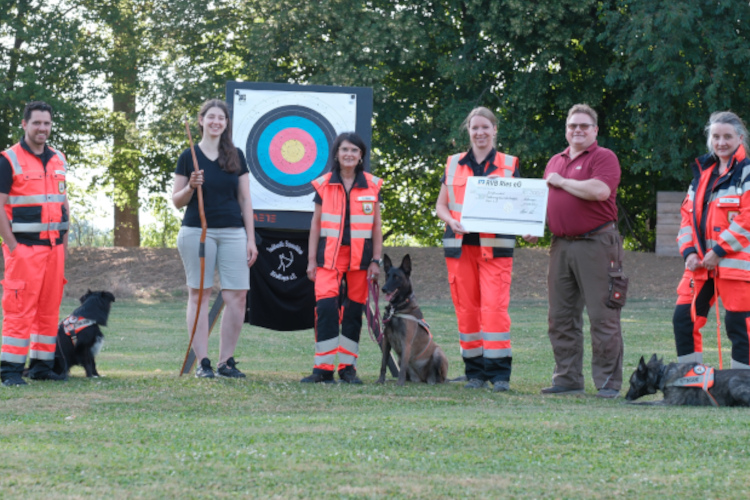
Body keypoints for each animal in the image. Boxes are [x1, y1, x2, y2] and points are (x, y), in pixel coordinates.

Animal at [378, 254, 450, 386]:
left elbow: (402, 367)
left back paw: (434, 381)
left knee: (441, 378)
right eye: (387, 275)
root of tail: (422, 378)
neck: (397, 308)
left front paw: (399, 383)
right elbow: (383, 363)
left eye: (396, 277)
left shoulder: (406, 342)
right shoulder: (386, 341)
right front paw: (381, 380)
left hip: (438, 352)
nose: (384, 289)